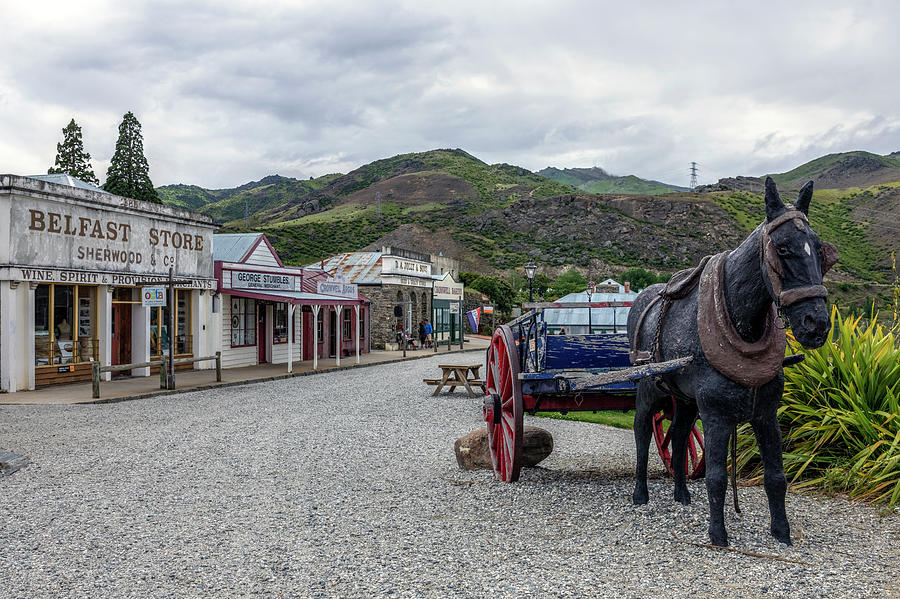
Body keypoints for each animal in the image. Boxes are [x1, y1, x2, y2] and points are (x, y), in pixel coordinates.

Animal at [628, 178, 832, 548]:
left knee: (679, 435)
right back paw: (640, 494)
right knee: (642, 431)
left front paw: (781, 533)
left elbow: (776, 476)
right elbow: (716, 477)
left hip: (684, 399)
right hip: (649, 389)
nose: (817, 324)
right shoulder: (716, 415)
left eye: (818, 246)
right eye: (782, 248)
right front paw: (718, 534)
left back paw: (681, 494)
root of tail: (641, 300)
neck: (739, 324)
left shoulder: (766, 414)